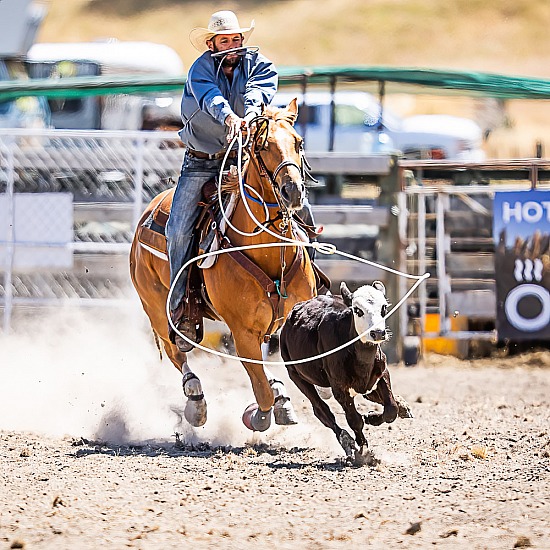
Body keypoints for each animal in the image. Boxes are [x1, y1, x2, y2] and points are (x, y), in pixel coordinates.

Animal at [130, 100, 316, 436]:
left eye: (298, 142)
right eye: (263, 146)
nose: (293, 192)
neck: (267, 251)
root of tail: (148, 213)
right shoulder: (242, 331)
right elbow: (260, 389)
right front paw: (260, 415)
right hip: (156, 308)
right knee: (177, 353)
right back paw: (195, 402)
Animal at [280, 282, 414, 464]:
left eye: (384, 307)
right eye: (357, 310)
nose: (378, 333)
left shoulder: (382, 374)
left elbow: (390, 409)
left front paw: (373, 417)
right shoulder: (340, 388)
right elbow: (355, 420)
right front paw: (362, 451)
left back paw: (402, 406)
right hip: (296, 375)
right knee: (321, 411)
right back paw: (346, 441)